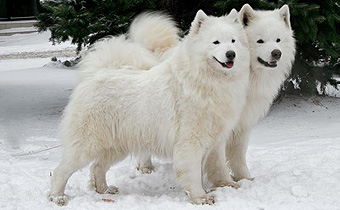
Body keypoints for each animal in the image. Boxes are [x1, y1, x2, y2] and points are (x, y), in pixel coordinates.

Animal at [48, 10, 250, 205]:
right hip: (87, 145)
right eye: (216, 42)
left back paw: (104, 190)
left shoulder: (216, 141)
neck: (208, 80)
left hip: (115, 147)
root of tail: (96, 74)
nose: (231, 54)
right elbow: (193, 173)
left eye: (233, 41)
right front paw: (200, 197)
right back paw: (57, 197)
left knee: (97, 167)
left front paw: (228, 185)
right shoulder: (190, 143)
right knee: (61, 171)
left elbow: (219, 167)